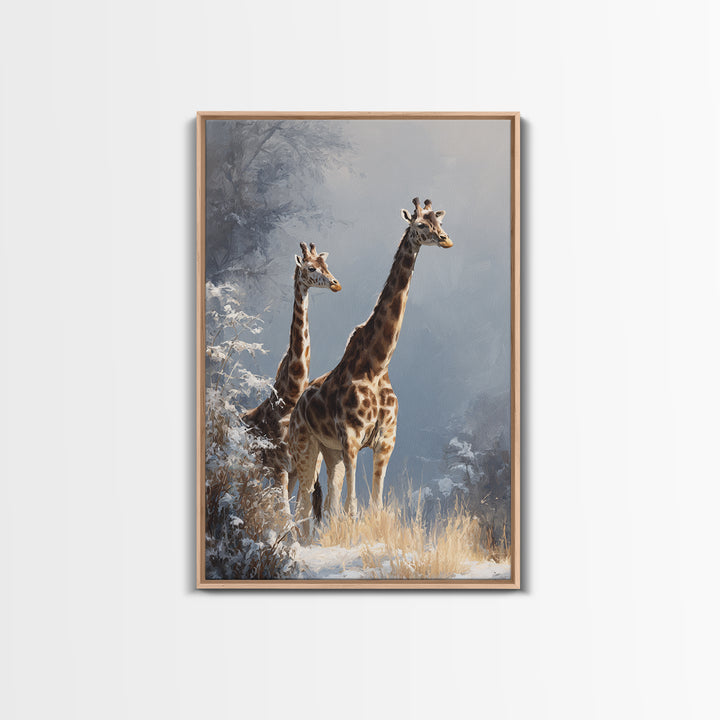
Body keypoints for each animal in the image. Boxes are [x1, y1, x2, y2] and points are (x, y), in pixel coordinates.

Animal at [242, 242, 341, 500]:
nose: (335, 283)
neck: (289, 398)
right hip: (251, 469)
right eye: (311, 267)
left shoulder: (300, 468)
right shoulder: (279, 468)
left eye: (326, 264)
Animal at [289, 198, 452, 537]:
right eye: (421, 224)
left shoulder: (385, 440)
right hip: (305, 446)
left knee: (324, 503)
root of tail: (297, 406)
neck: (377, 364)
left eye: (440, 221)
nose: (446, 240)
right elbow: (352, 507)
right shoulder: (351, 438)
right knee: (303, 502)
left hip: (330, 453)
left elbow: (374, 506)